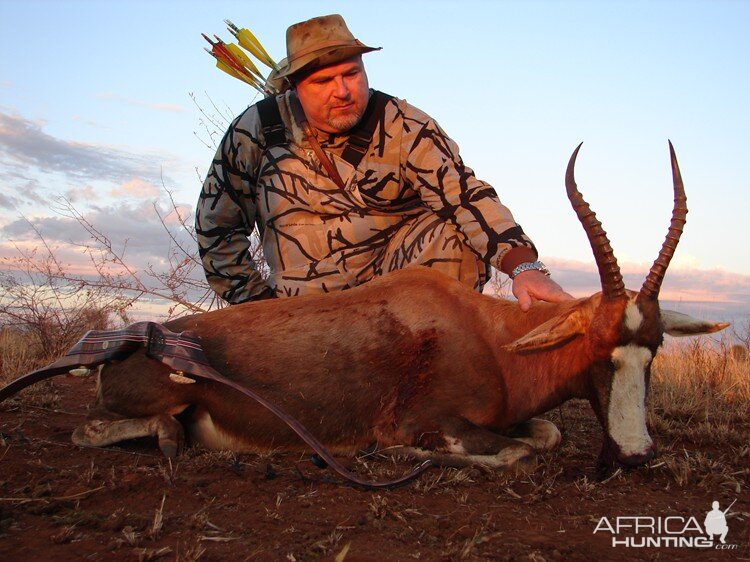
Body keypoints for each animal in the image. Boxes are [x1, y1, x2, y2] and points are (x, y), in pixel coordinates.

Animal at [66, 141, 728, 468]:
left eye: (654, 349)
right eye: (597, 345)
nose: (637, 455)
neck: (488, 336)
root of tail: (127, 345)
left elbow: (544, 435)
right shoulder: (435, 420)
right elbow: (516, 452)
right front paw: (393, 452)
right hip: (163, 400)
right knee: (92, 430)